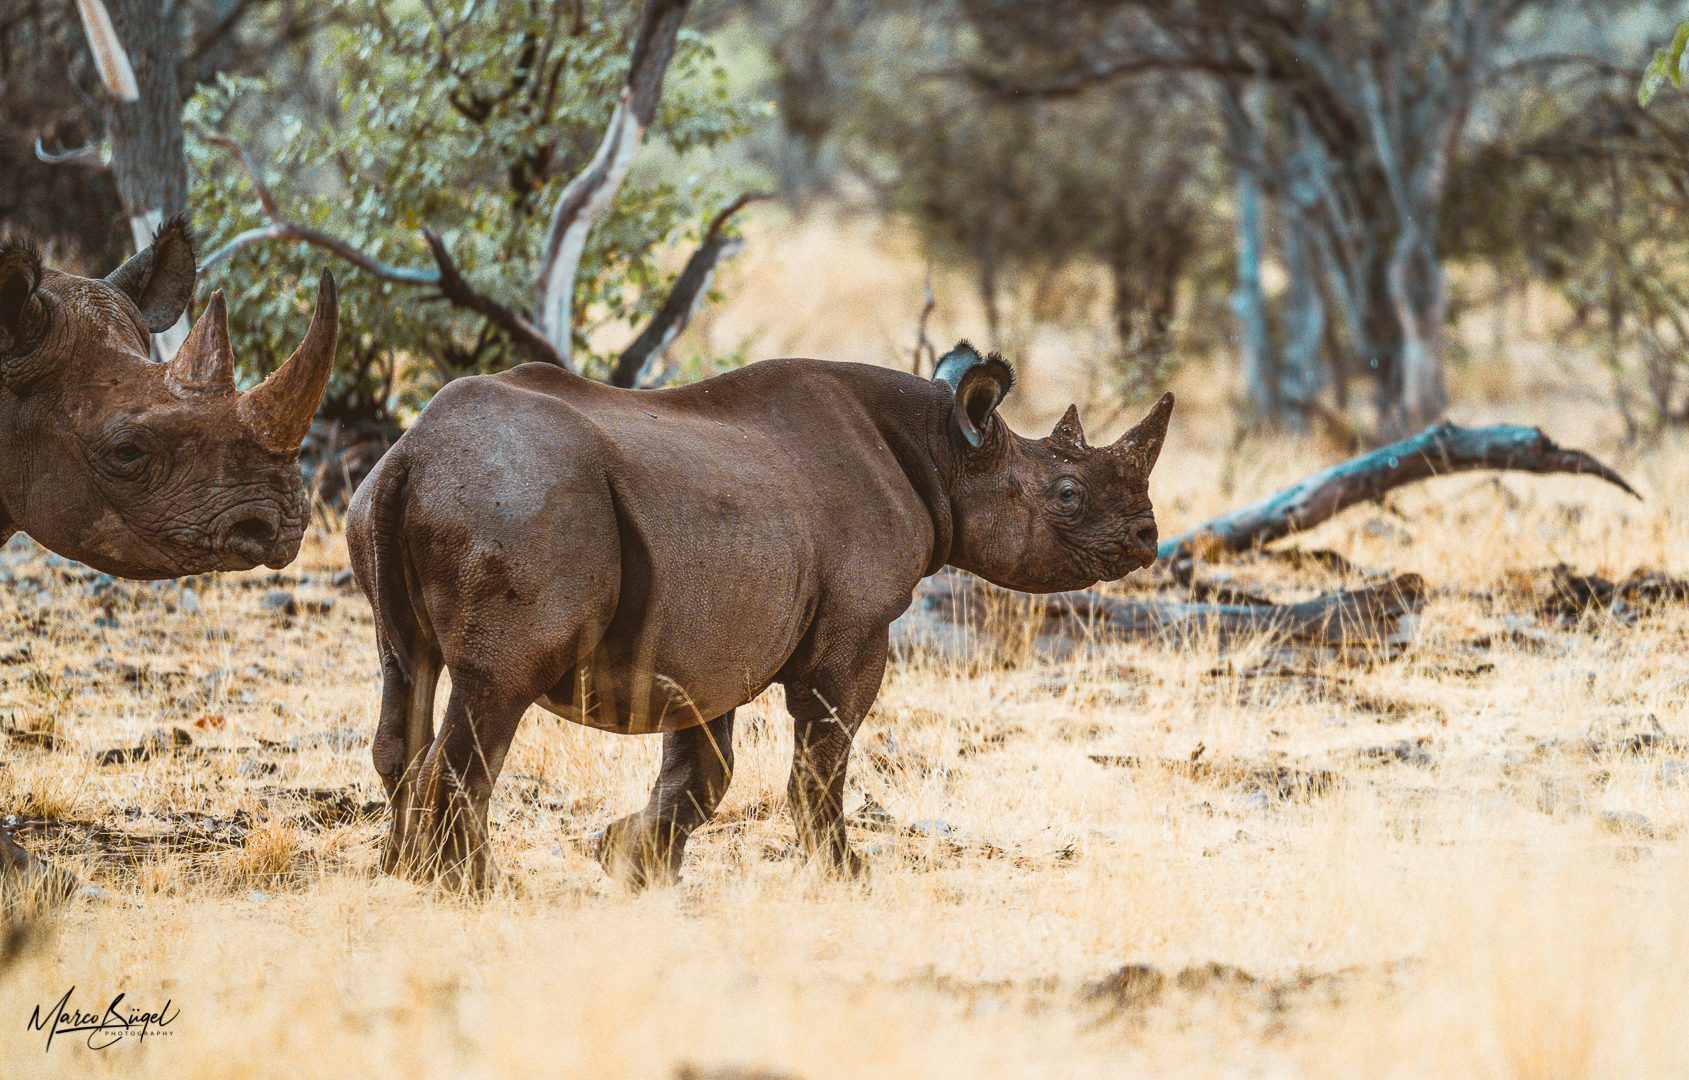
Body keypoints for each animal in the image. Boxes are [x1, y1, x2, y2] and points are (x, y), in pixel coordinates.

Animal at [353, 341, 1175, 892]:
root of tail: (411, 455)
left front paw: (631, 863)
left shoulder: (705, 629)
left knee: (406, 672)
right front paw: (846, 875)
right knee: (495, 691)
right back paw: (478, 889)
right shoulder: (853, 628)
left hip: (407, 501)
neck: (948, 451)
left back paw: (402, 872)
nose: (1146, 537)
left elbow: (703, 767)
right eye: (1067, 495)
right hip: (519, 504)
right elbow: (824, 753)